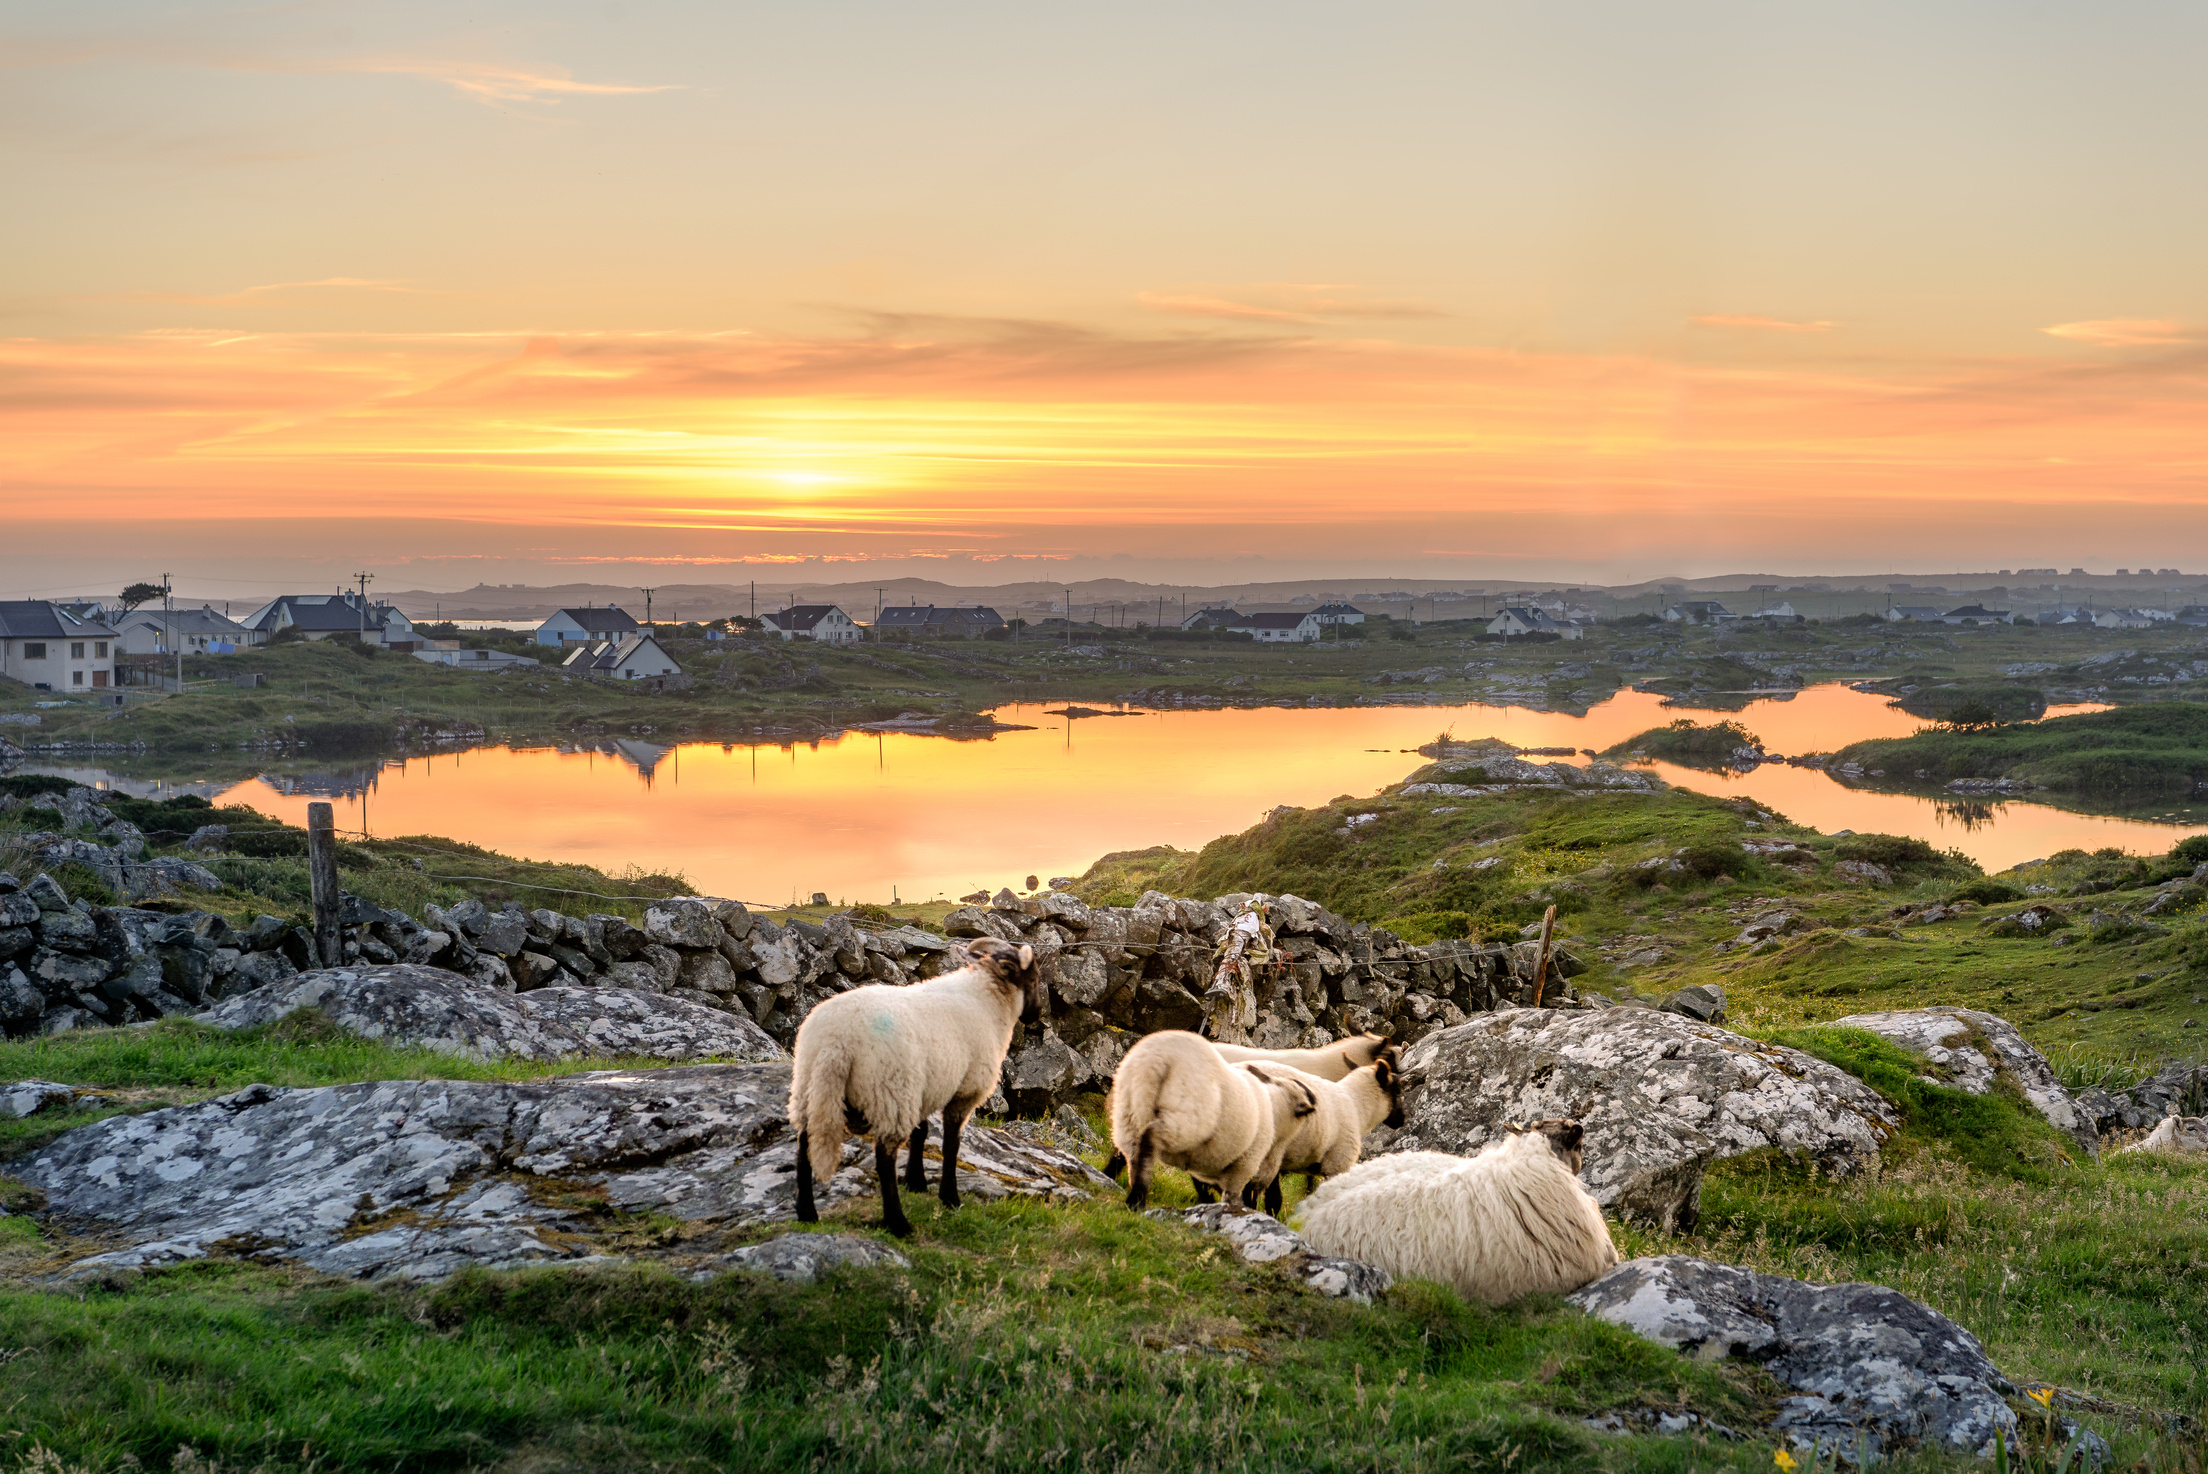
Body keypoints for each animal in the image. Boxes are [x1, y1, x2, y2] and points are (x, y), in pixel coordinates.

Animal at [790, 940, 1037, 1235]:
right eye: (1033, 979)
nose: (1036, 1016)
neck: (988, 1001)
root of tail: (836, 1041)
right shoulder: (964, 1091)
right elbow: (951, 1144)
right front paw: (949, 1197)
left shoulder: (925, 1088)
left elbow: (921, 1132)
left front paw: (916, 1181)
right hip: (890, 1091)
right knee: (884, 1158)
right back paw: (897, 1223)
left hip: (810, 1087)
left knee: (804, 1148)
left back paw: (807, 1213)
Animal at [1112, 1032, 1315, 1218]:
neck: (1275, 1108)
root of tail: (1159, 1058)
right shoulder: (1245, 1163)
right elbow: (1236, 1195)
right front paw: (1238, 1210)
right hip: (1189, 1114)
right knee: (1151, 1136)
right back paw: (1137, 1200)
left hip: (1128, 1111)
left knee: (1133, 1153)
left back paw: (1135, 1199)